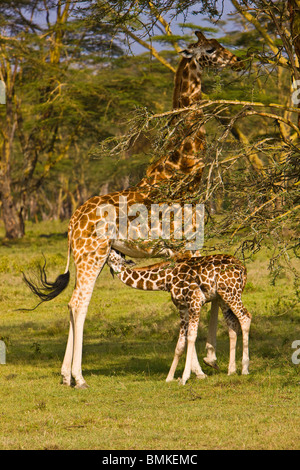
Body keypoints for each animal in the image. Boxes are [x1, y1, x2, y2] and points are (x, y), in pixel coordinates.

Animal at [106, 250, 252, 386]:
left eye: (111, 252)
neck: (165, 279)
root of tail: (243, 268)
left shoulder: (195, 300)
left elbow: (191, 336)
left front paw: (185, 377)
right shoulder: (182, 306)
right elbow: (180, 344)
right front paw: (170, 377)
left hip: (230, 293)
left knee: (245, 318)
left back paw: (245, 368)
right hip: (223, 296)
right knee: (232, 324)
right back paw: (231, 370)